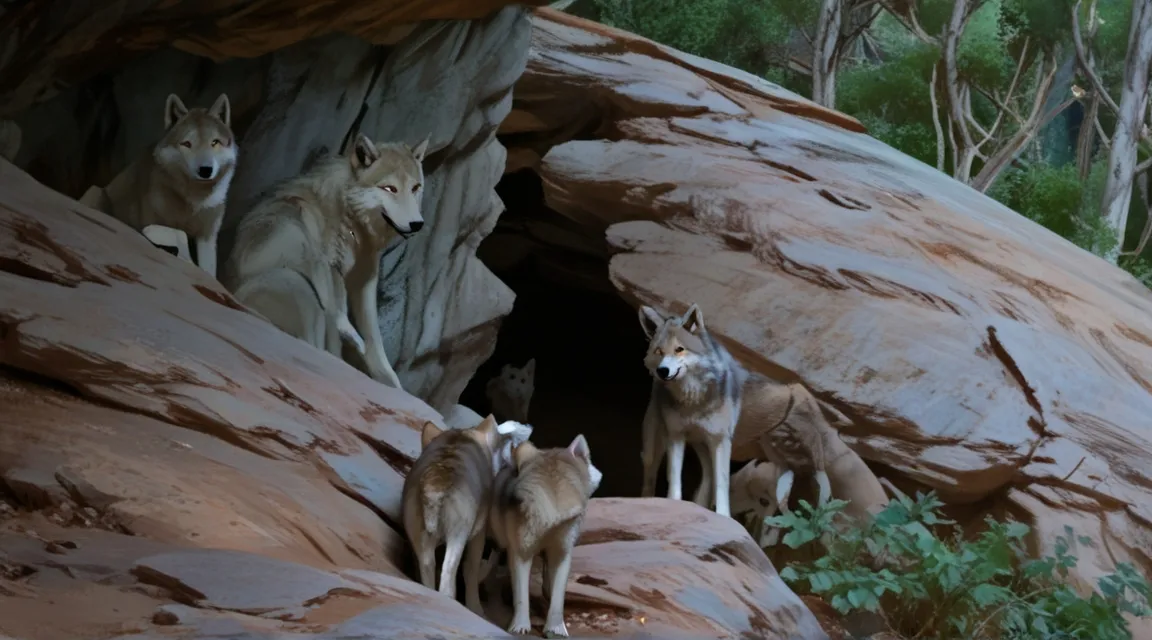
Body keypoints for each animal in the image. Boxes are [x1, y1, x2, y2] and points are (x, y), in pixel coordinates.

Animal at [78, 93, 236, 277]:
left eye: (215, 142)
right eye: (187, 144)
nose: (205, 170)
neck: (193, 200)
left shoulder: (207, 238)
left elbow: (209, 272)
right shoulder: (147, 224)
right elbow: (180, 234)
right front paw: (186, 259)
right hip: (96, 191)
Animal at [222, 133, 430, 389]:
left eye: (415, 188)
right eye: (390, 188)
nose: (417, 224)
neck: (351, 218)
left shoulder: (364, 281)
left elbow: (375, 340)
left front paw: (391, 385)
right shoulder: (330, 271)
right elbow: (339, 323)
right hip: (296, 283)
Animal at [403, 414, 532, 616]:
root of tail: (437, 480)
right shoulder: (478, 533)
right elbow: (471, 568)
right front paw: (476, 608)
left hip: (419, 535)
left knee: (428, 575)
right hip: (458, 534)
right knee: (448, 582)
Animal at [486, 432, 603, 635]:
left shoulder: (562, 552)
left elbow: (558, 599)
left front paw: (556, 629)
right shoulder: (521, 552)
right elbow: (521, 596)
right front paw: (520, 626)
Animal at [635, 301, 741, 517]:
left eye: (679, 349)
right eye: (659, 351)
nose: (662, 371)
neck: (694, 401)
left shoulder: (721, 439)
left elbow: (722, 483)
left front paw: (723, 516)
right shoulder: (676, 435)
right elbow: (674, 476)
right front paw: (673, 503)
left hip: (703, 445)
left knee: (709, 474)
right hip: (655, 443)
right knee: (650, 474)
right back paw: (647, 501)